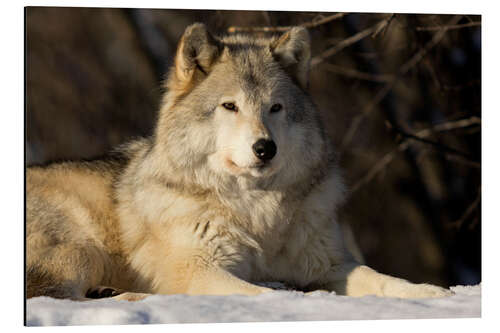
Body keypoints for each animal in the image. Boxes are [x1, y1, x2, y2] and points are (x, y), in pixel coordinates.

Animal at [25, 22, 452, 300]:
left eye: (275, 108)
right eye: (229, 106)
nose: (265, 148)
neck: (255, 211)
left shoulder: (329, 264)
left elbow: (384, 280)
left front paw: (434, 295)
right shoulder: (200, 269)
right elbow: (265, 295)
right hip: (81, 249)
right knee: (54, 297)